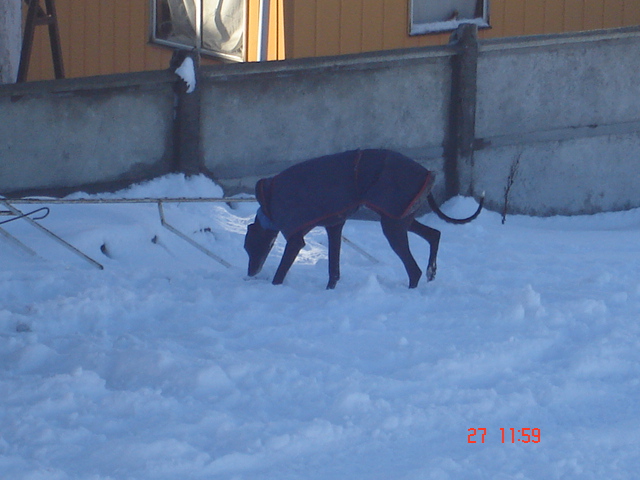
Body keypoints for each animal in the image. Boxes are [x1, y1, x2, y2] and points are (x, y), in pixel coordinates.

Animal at [242, 148, 482, 288]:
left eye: (249, 247)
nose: (250, 273)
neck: (269, 204)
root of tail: (426, 172)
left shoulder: (295, 239)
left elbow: (280, 273)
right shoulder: (334, 226)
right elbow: (334, 269)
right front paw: (330, 289)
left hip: (392, 225)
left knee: (414, 270)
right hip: (400, 217)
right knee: (434, 234)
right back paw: (432, 271)